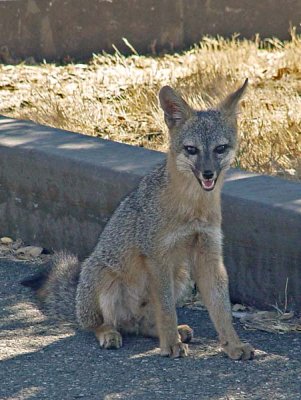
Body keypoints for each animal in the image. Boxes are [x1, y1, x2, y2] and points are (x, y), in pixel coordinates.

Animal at [22, 80, 253, 360]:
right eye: (192, 150)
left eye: (220, 149)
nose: (208, 173)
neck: (191, 207)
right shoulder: (157, 256)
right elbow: (167, 310)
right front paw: (171, 345)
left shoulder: (209, 254)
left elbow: (222, 311)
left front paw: (233, 345)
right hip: (107, 279)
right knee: (100, 324)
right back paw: (113, 334)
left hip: (181, 275)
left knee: (142, 324)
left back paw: (173, 331)